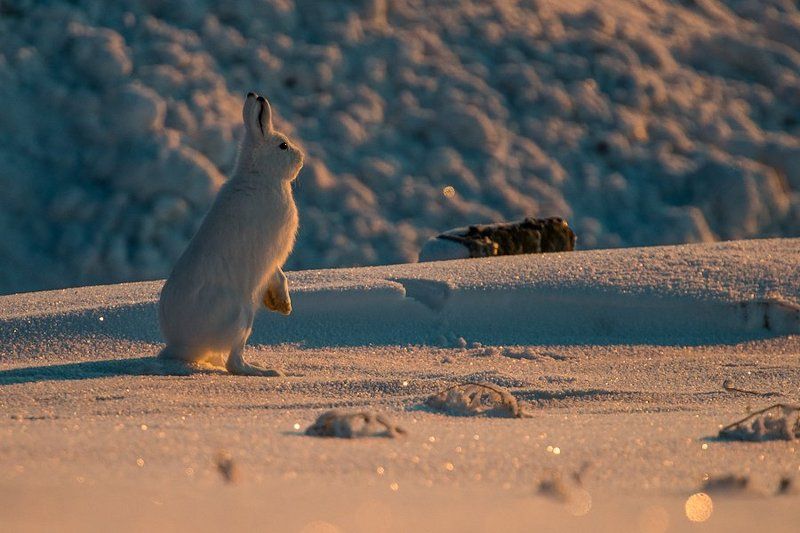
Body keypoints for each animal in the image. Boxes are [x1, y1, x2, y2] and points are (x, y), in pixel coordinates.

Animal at [158, 92, 303, 376]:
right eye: (283, 146)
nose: (301, 157)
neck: (259, 174)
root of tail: (182, 345)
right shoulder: (273, 251)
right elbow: (278, 272)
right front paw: (284, 304)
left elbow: (278, 275)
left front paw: (282, 305)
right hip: (241, 316)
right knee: (234, 362)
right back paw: (265, 371)